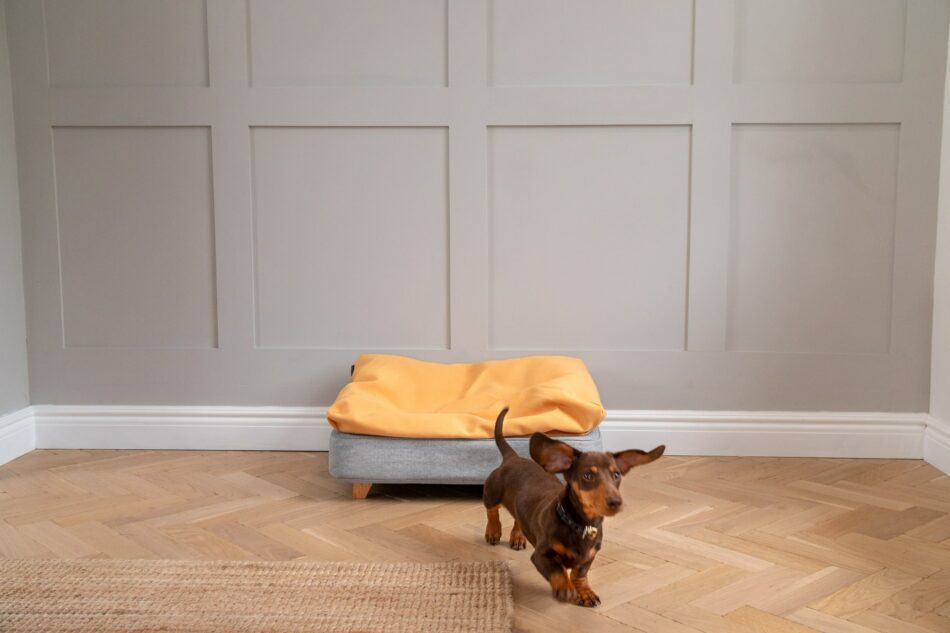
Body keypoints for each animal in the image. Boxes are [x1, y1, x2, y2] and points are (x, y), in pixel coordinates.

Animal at [484, 408, 660, 604]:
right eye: (588, 476)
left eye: (616, 475)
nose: (616, 502)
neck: (581, 525)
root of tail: (512, 458)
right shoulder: (542, 555)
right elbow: (557, 570)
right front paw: (565, 588)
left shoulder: (589, 556)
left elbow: (580, 574)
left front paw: (585, 592)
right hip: (493, 493)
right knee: (491, 510)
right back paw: (493, 531)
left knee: (518, 518)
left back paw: (518, 536)